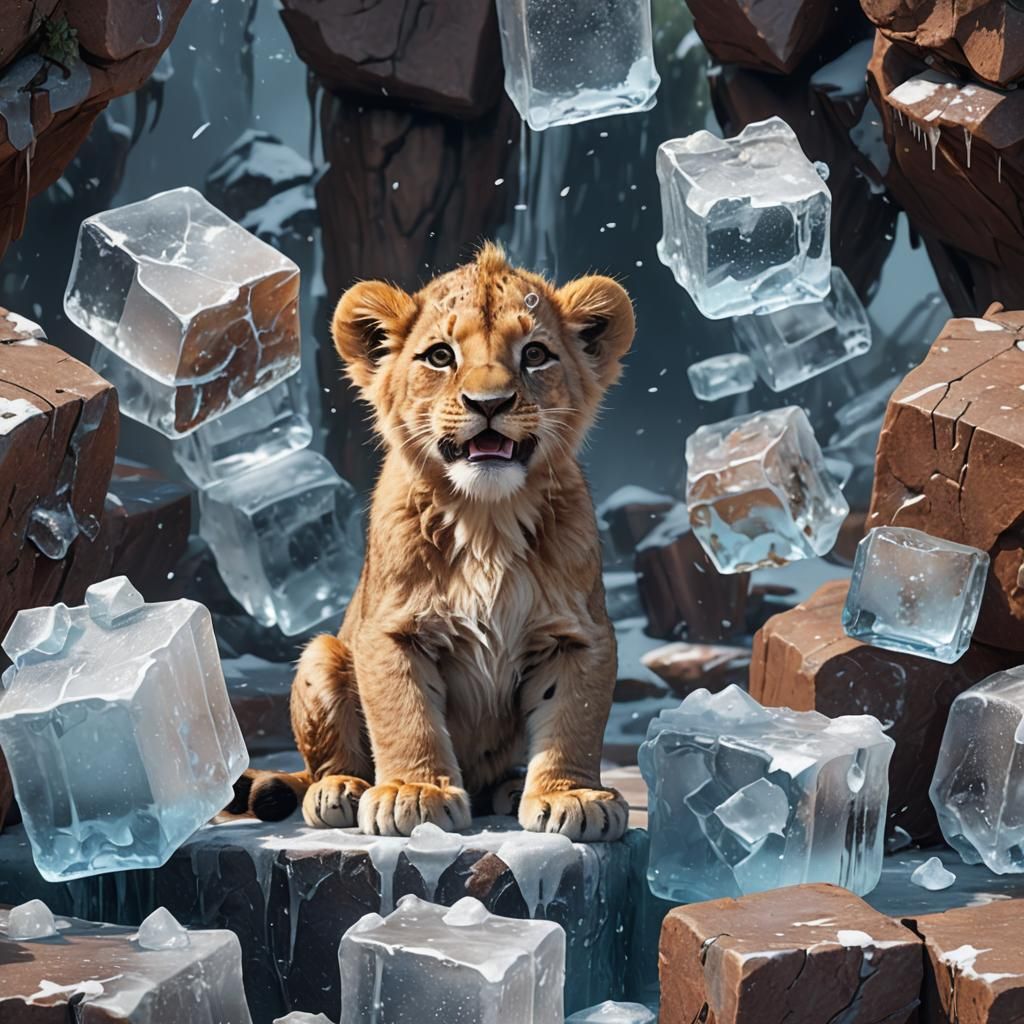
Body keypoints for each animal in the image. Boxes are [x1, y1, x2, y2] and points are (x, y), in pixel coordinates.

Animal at [230, 243, 635, 842]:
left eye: (535, 354)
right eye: (440, 357)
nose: (489, 402)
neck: (487, 521)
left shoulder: (579, 635)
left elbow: (573, 721)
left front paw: (572, 795)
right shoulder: (390, 631)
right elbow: (406, 716)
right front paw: (413, 793)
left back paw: (510, 786)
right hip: (323, 653)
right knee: (321, 762)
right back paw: (341, 788)